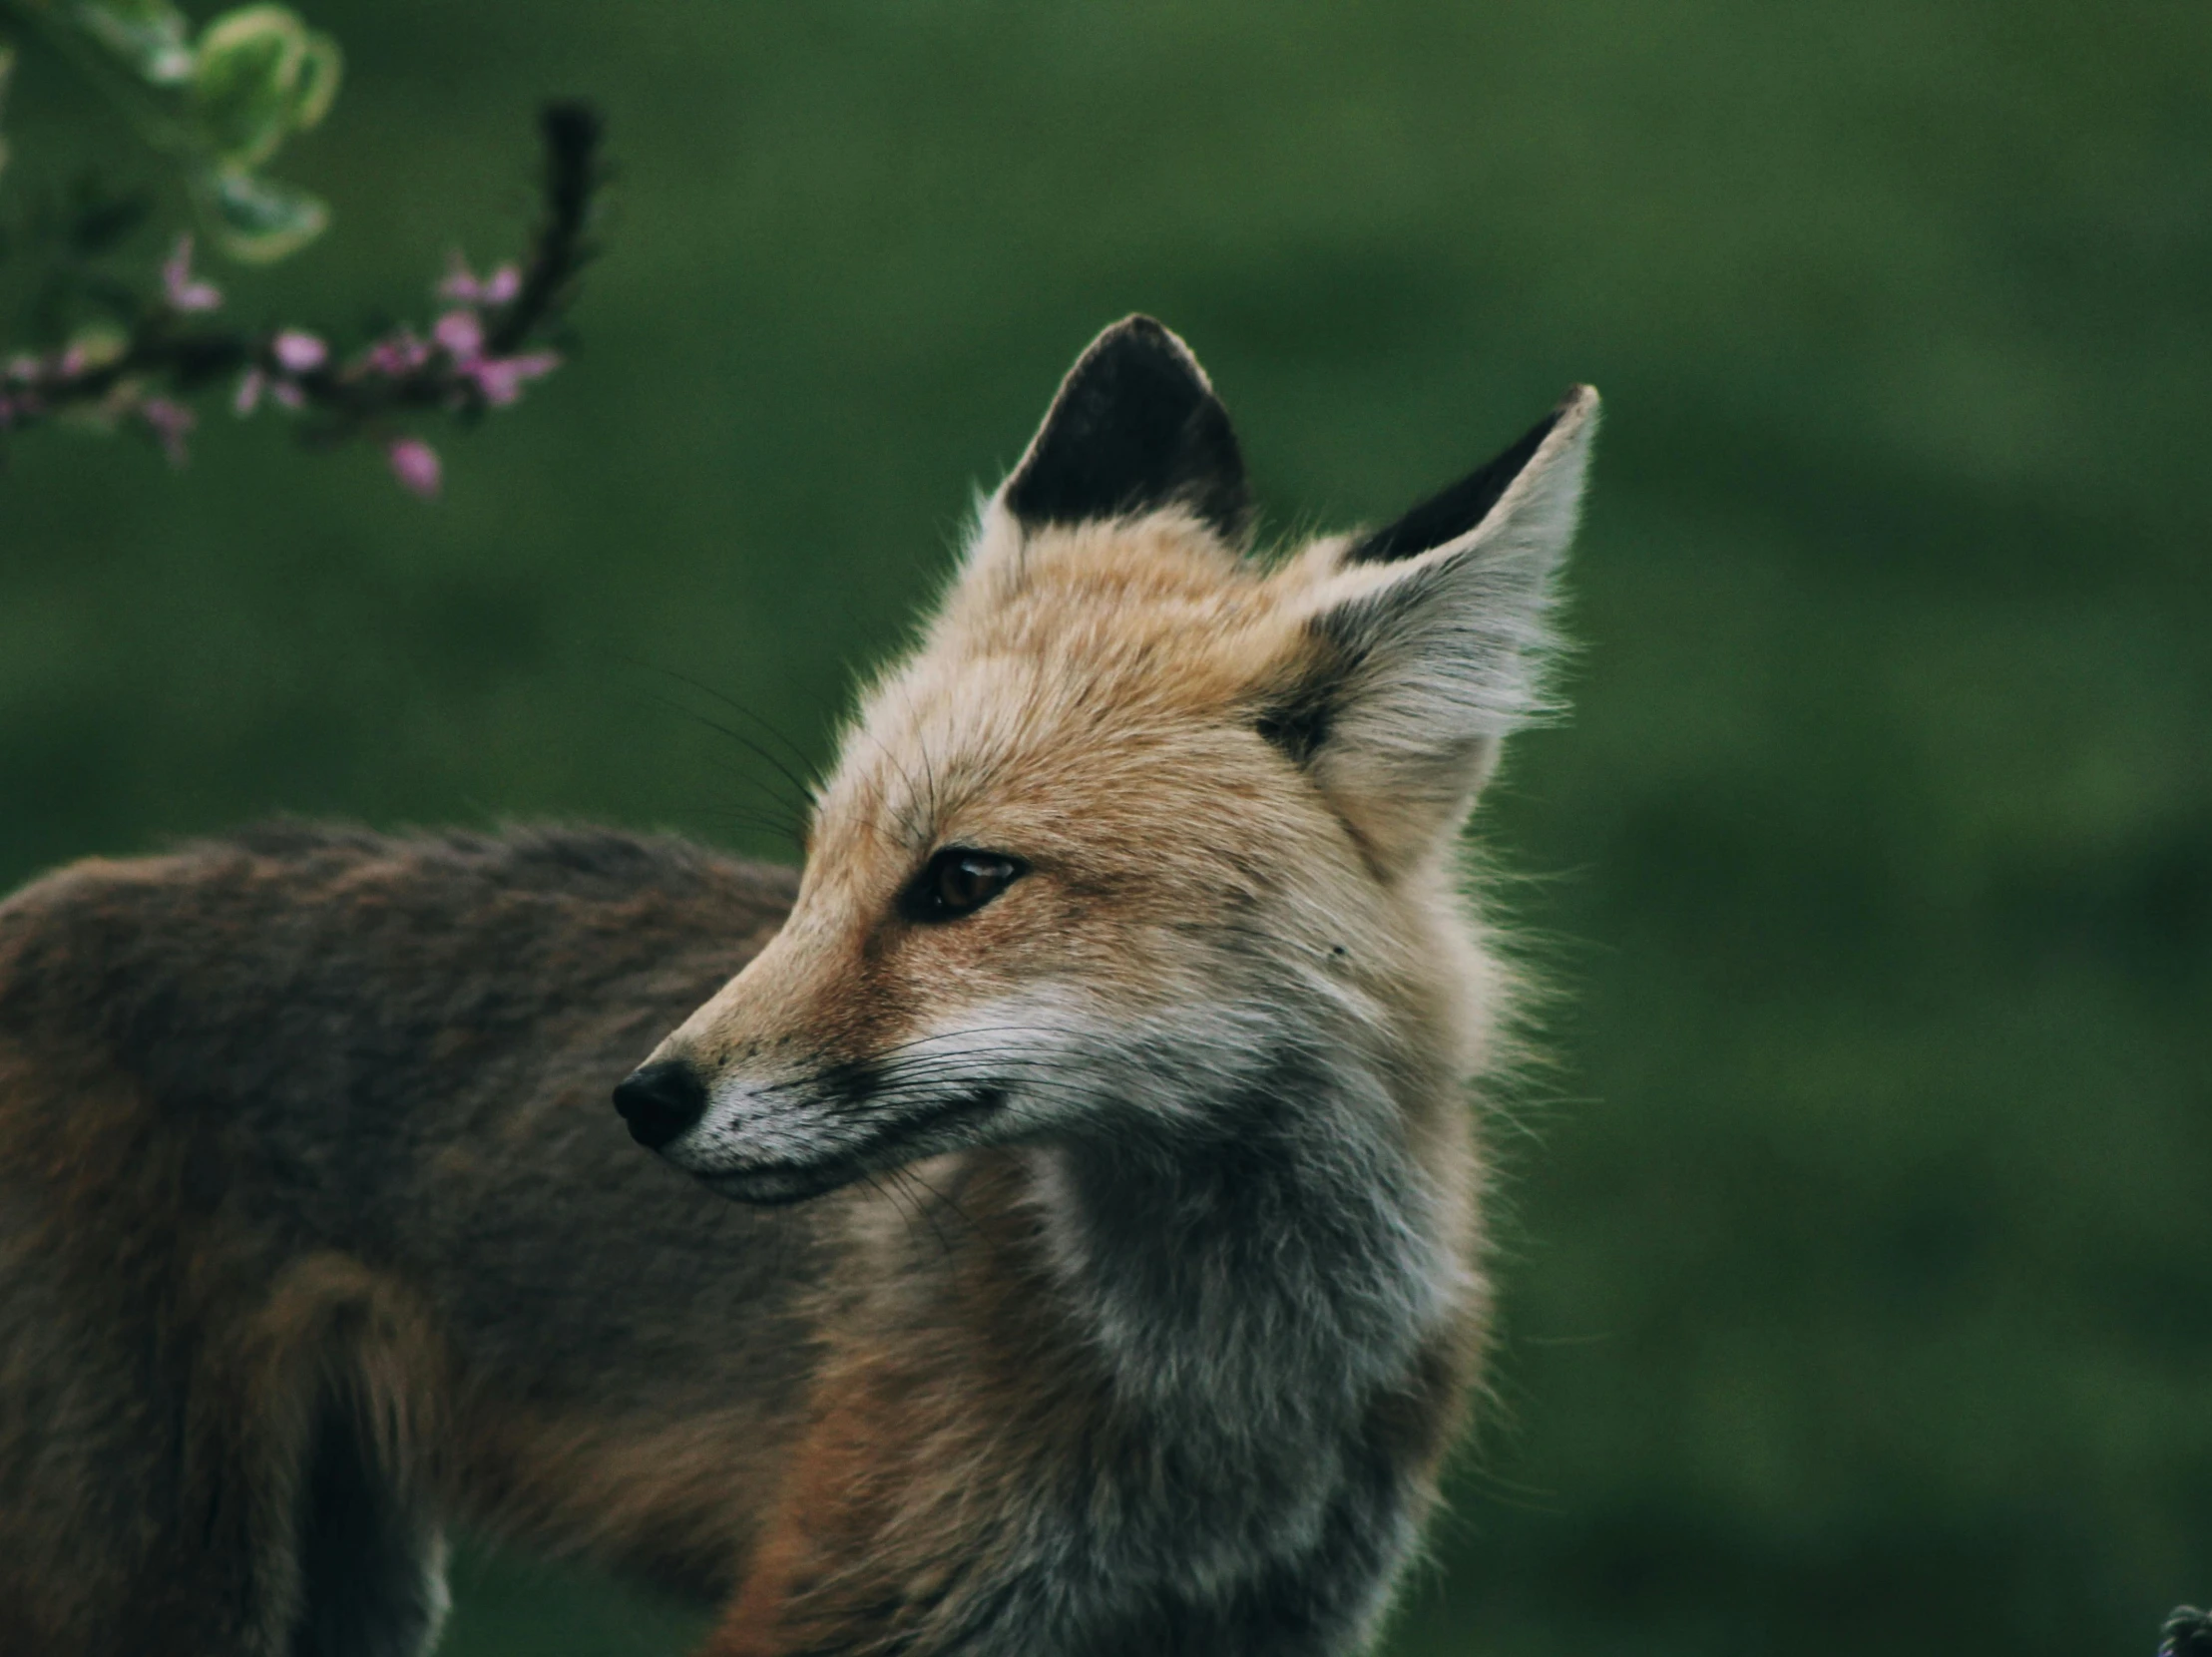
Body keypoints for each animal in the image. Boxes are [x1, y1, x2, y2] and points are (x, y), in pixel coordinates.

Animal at [0, 316, 1601, 1645]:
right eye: (815, 866)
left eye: (961, 880)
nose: (642, 1100)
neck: (1221, 1404)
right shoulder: (839, 1598)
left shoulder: (1279, 1621)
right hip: (167, 1580)